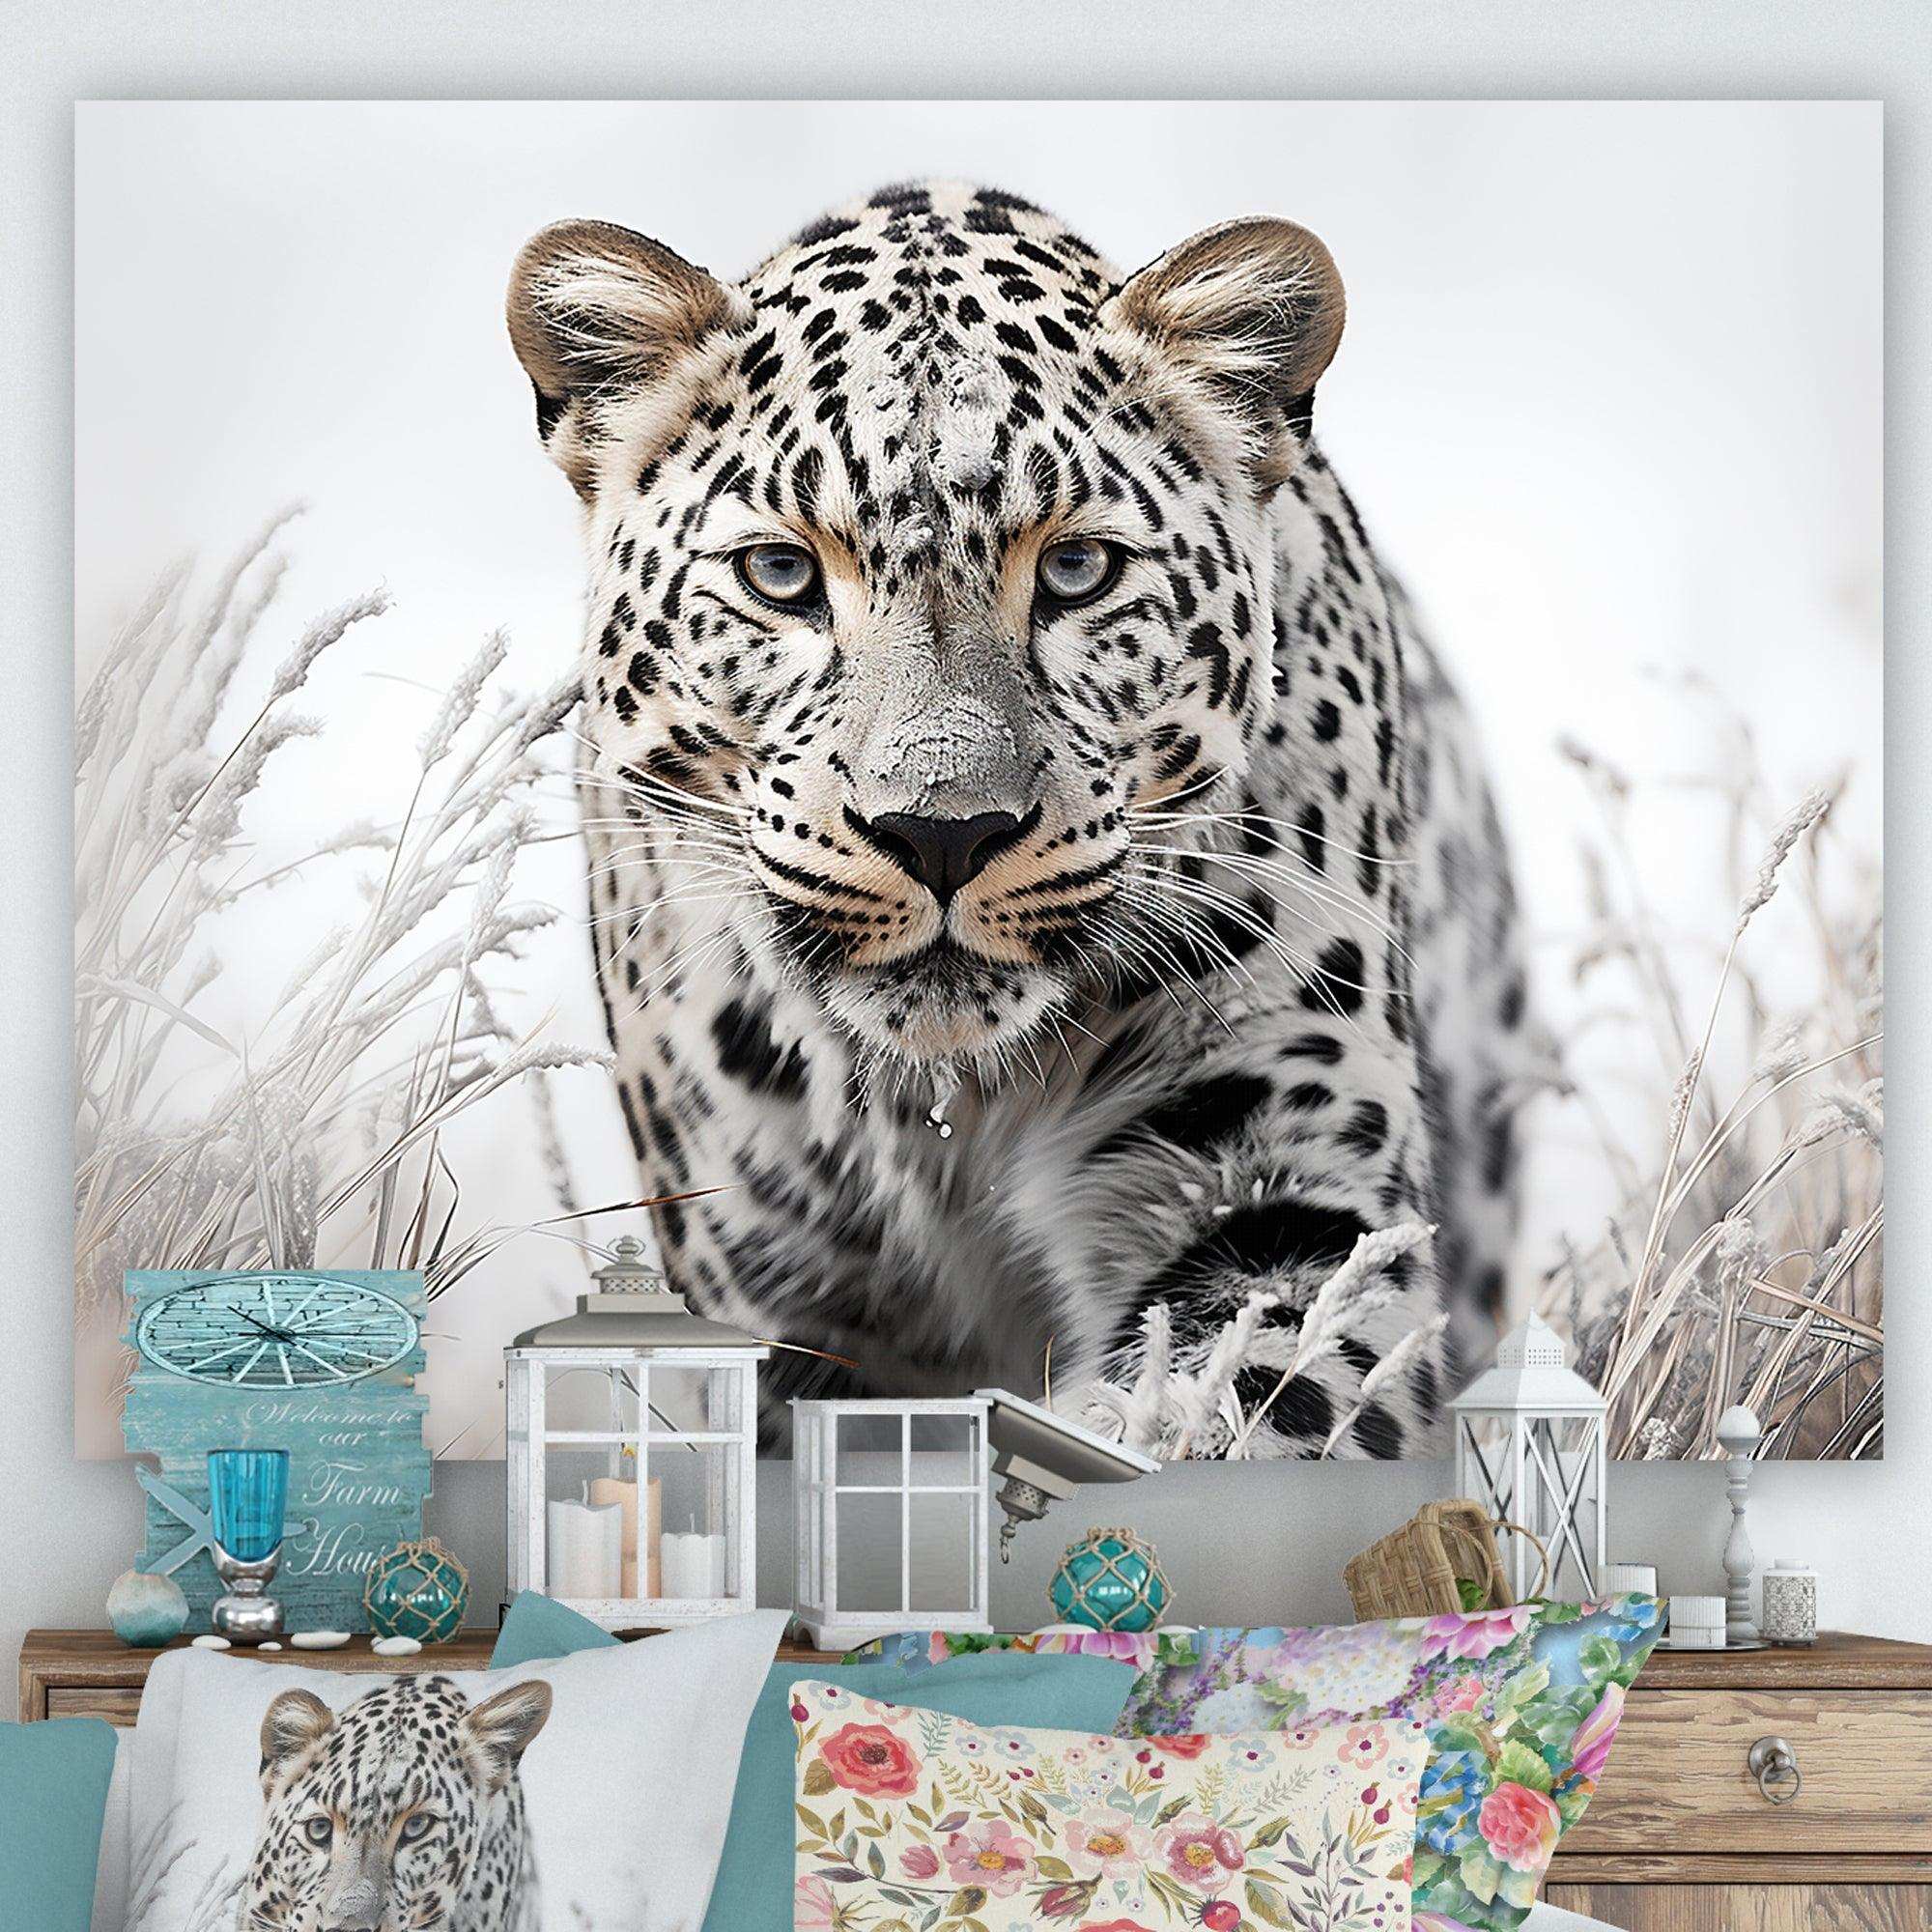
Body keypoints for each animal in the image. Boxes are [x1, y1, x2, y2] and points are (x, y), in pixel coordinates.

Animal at [506, 179, 1529, 1457]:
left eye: (1079, 570)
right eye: (779, 577)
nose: (940, 832)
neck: (943, 1112)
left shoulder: (1287, 1164)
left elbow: (1247, 1390)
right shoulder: (771, 1281)